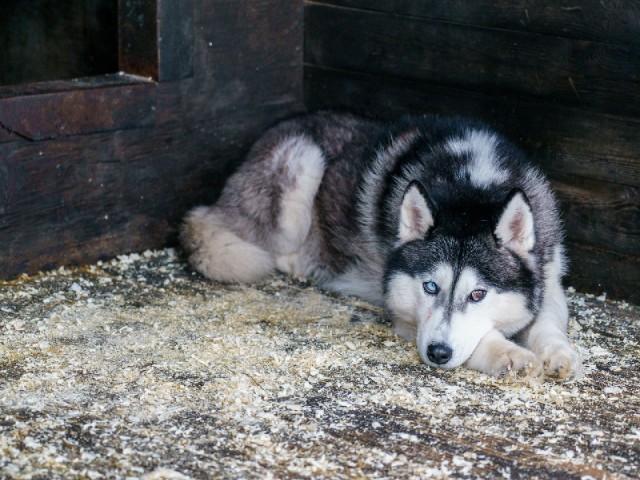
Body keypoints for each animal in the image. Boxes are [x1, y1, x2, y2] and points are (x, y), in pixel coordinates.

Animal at [180, 111, 580, 378]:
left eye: (478, 294)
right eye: (429, 287)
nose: (437, 353)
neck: (471, 190)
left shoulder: (548, 275)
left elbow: (548, 320)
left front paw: (559, 355)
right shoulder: (408, 318)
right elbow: (483, 339)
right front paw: (510, 355)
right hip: (301, 165)